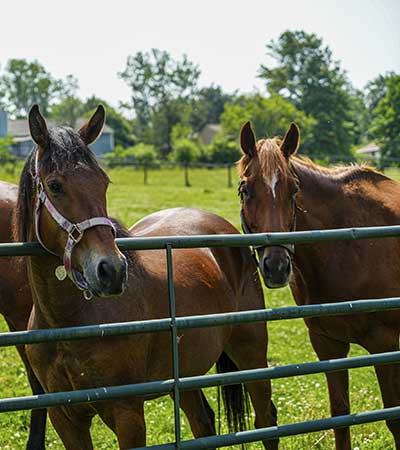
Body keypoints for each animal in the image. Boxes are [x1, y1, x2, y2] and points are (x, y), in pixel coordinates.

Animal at [16, 106, 278, 450]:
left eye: (103, 182)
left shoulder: (127, 414)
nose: (111, 270)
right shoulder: (66, 418)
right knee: (203, 423)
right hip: (187, 369)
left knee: (266, 419)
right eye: (55, 185)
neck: (69, 323)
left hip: (250, 353)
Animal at [238, 120, 400, 450]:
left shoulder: (385, 343)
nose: (277, 267)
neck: (346, 243)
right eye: (245, 190)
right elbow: (340, 415)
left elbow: (394, 419)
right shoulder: (328, 344)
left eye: (294, 190)